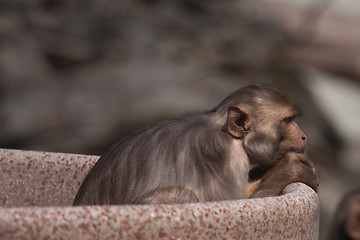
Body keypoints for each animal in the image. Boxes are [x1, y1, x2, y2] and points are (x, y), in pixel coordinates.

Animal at [73, 83, 318, 205]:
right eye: (287, 121)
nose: (304, 135)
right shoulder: (226, 155)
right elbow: (229, 201)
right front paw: (292, 170)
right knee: (184, 196)